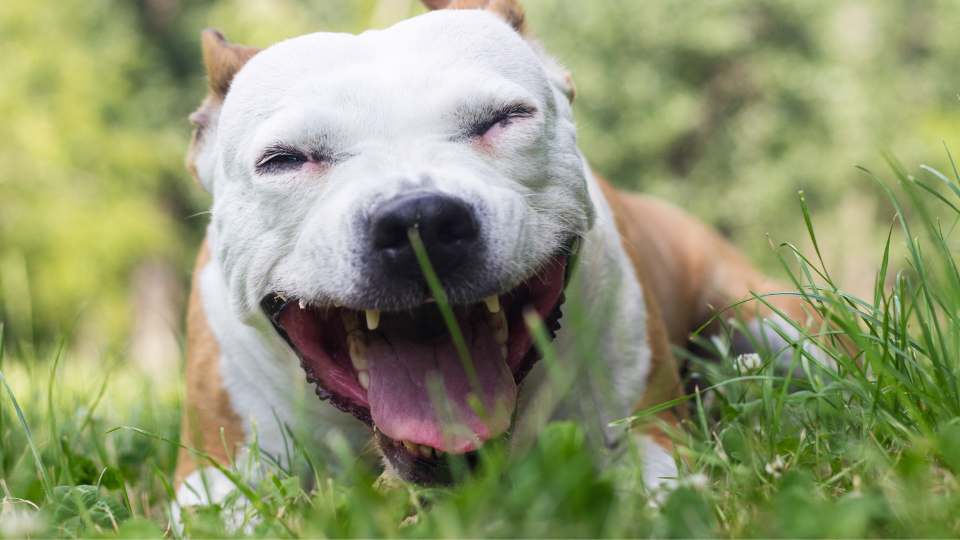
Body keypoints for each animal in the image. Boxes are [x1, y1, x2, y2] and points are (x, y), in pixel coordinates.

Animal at [174, 0, 816, 520]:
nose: (419, 221)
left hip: (775, 323)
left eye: (505, 118)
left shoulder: (645, 430)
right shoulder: (212, 474)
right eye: (283, 160)